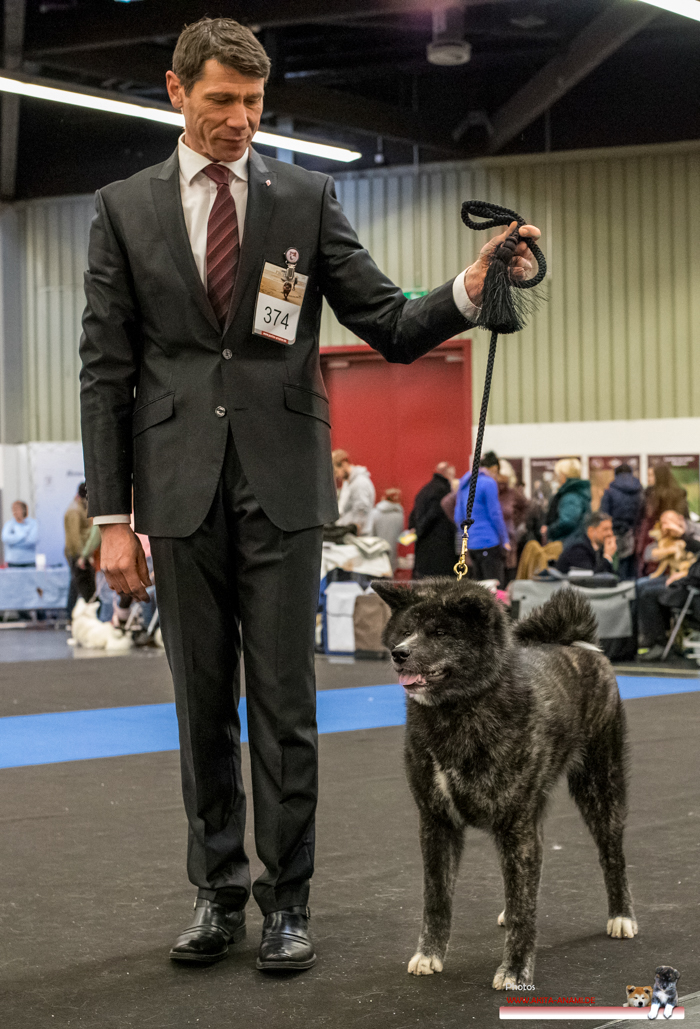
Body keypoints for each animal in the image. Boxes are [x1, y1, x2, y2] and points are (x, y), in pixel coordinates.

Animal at [374, 580, 638, 987]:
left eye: (440, 632)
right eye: (406, 630)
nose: (399, 654)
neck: (458, 712)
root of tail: (579, 645)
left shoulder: (516, 824)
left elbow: (521, 908)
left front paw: (514, 969)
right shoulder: (436, 822)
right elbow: (436, 899)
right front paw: (429, 955)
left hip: (600, 788)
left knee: (612, 856)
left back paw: (622, 915)